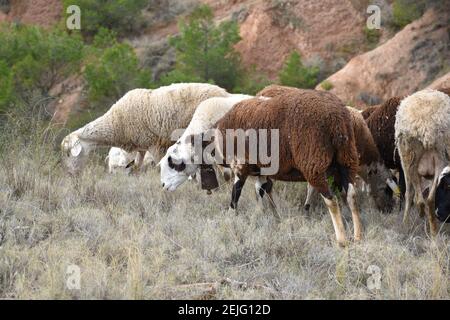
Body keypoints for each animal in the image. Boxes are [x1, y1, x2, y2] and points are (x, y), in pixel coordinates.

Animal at [60, 81, 229, 174]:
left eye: (68, 153)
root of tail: (226, 94)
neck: (116, 122)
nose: (70, 174)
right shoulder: (140, 148)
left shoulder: (155, 144)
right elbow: (136, 167)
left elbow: (159, 166)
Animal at [162, 89, 362, 246]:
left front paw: (230, 222)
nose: (163, 186)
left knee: (331, 200)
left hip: (314, 162)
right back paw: (358, 236)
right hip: (347, 158)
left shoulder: (240, 165)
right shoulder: (260, 171)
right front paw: (270, 219)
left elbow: (235, 197)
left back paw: (342, 239)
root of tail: (336, 118)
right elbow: (262, 194)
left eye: (172, 162)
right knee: (351, 194)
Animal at [396, 89, 450, 234]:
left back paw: (411, 224)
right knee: (425, 198)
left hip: (408, 159)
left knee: (415, 197)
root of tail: (424, 125)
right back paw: (432, 229)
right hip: (439, 156)